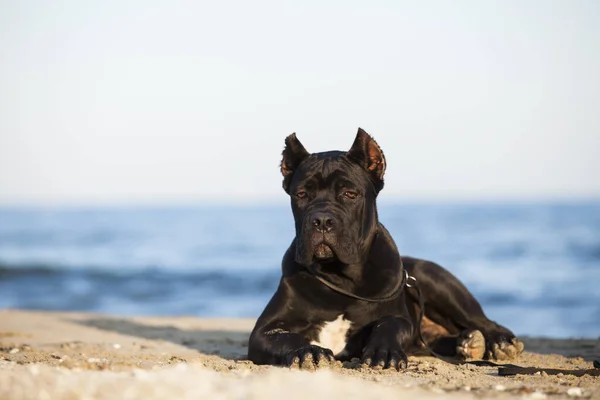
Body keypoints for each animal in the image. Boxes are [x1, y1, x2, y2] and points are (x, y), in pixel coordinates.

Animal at [246, 130, 524, 370]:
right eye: (302, 194)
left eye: (350, 194)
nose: (322, 220)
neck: (339, 278)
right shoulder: (264, 330)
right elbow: (285, 337)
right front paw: (308, 351)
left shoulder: (398, 317)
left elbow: (390, 324)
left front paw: (385, 352)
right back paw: (468, 343)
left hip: (434, 279)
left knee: (480, 320)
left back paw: (498, 342)